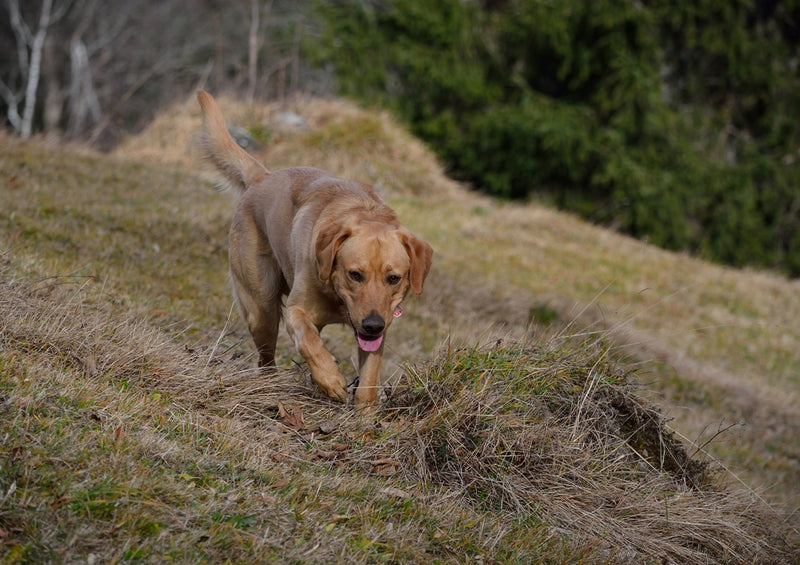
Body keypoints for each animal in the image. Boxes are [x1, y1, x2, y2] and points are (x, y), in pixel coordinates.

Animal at [197, 91, 432, 410]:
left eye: (393, 278)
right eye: (354, 274)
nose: (372, 325)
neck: (338, 300)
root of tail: (262, 177)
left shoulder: (381, 327)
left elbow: (369, 378)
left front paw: (365, 413)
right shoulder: (297, 312)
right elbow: (309, 343)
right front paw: (331, 380)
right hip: (261, 308)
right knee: (266, 359)